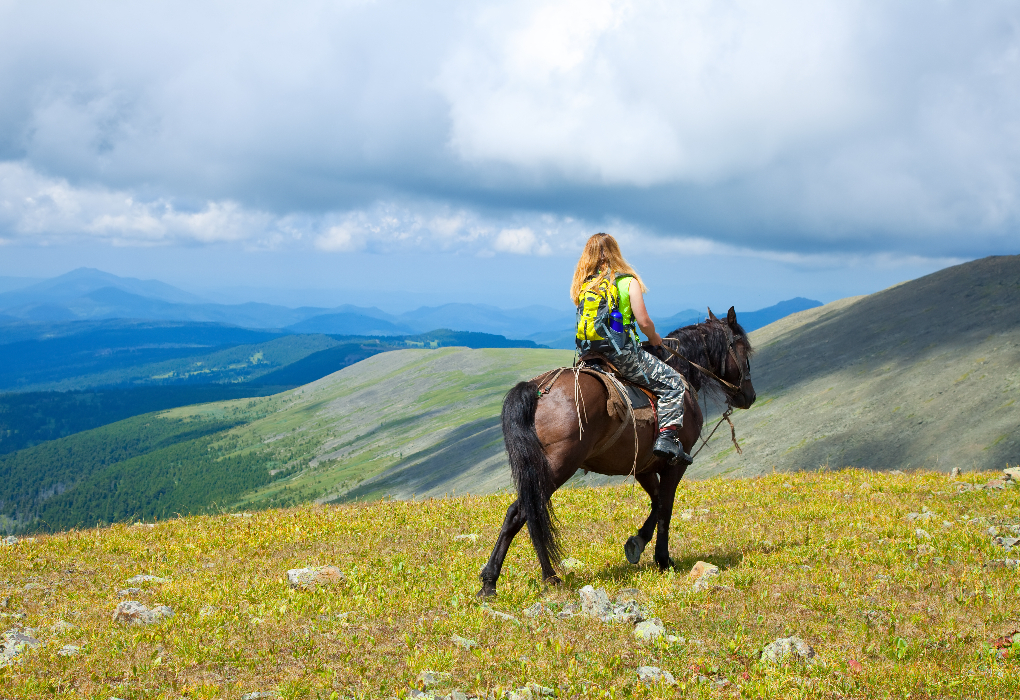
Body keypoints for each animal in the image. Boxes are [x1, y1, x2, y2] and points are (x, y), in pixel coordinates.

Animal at [477, 306, 758, 595]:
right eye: (744, 350)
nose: (749, 396)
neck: (680, 371)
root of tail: (538, 389)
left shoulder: (644, 466)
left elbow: (657, 503)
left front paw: (637, 543)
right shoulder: (675, 463)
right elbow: (666, 507)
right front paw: (663, 559)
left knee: (523, 513)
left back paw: (495, 581)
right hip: (557, 467)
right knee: (524, 511)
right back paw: (543, 577)